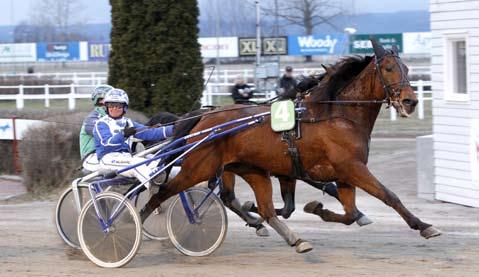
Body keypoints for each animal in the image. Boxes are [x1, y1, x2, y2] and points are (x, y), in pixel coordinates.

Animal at [142, 40, 442, 253]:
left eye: (408, 69)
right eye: (389, 69)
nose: (410, 101)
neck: (337, 115)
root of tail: (203, 116)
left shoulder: (342, 173)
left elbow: (348, 213)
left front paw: (318, 209)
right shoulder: (352, 168)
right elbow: (389, 196)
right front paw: (424, 226)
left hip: (246, 169)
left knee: (249, 204)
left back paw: (285, 234)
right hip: (198, 167)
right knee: (163, 193)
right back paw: (137, 221)